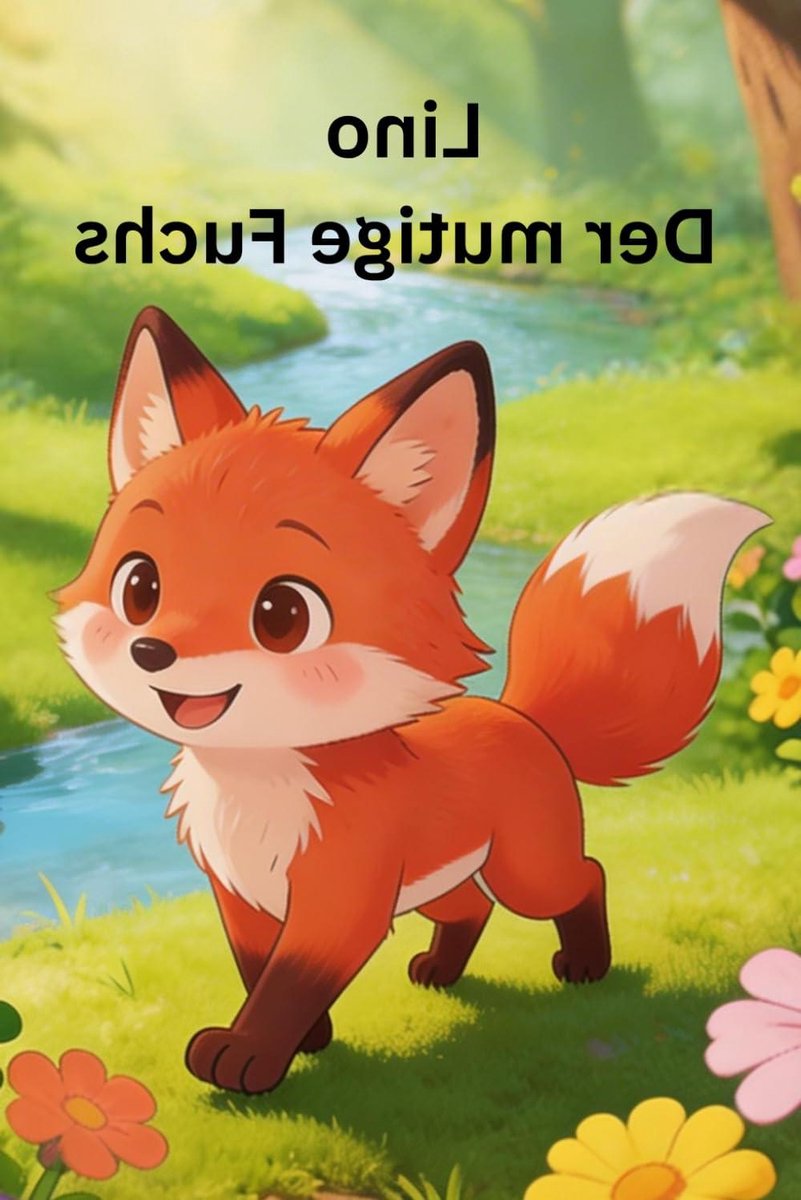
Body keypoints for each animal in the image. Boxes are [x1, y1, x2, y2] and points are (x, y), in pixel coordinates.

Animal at [55, 306, 768, 1095]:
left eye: (282, 615)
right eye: (139, 587)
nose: (153, 653)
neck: (259, 789)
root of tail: (521, 717)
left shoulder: (341, 900)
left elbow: (287, 982)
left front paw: (250, 1056)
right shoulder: (239, 894)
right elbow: (257, 969)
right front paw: (310, 1039)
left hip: (528, 872)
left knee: (584, 877)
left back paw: (585, 964)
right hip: (437, 880)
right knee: (471, 907)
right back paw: (440, 970)